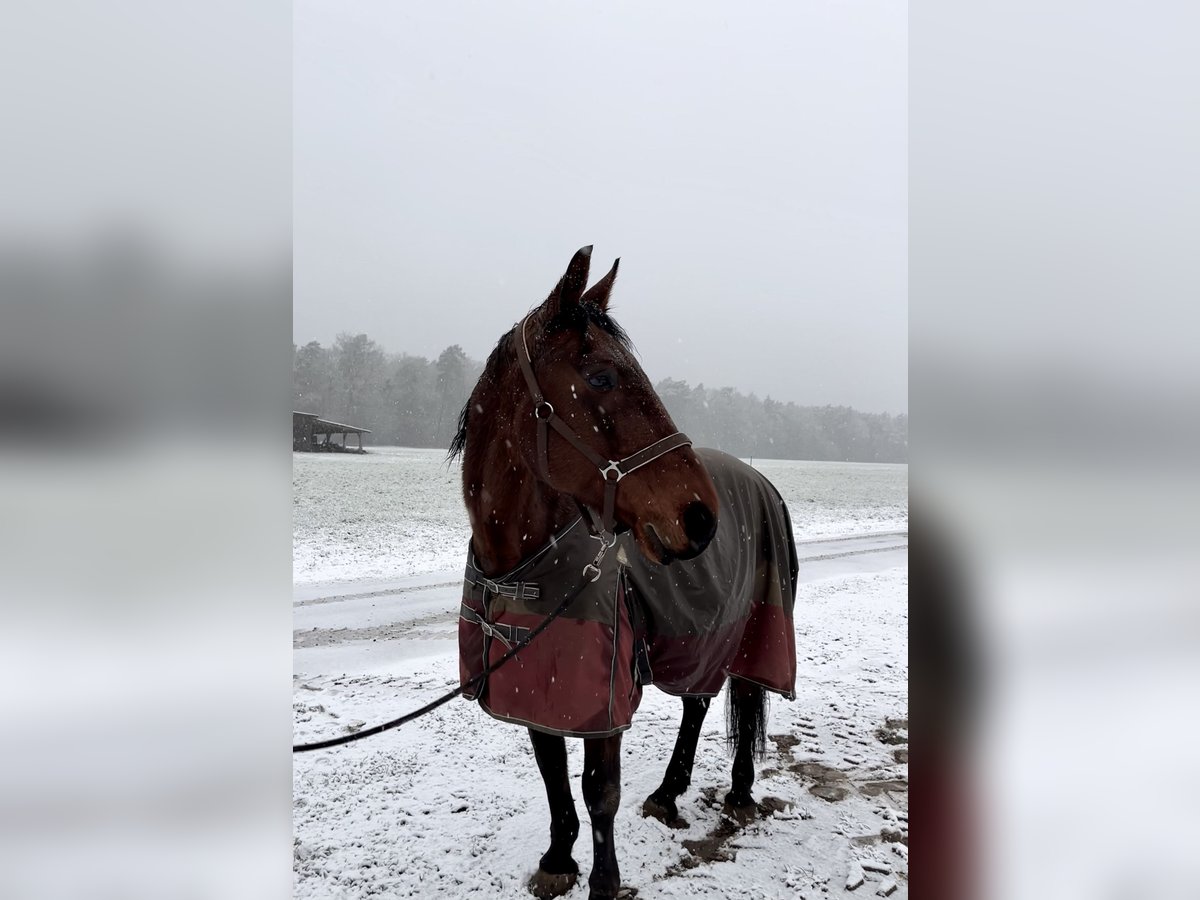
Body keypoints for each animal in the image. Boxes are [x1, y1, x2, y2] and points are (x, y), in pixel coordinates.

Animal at [451, 248, 796, 900]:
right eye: (602, 378)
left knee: (744, 693)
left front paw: (604, 882)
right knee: (699, 701)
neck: (523, 565)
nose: (700, 516)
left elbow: (599, 793)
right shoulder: (538, 688)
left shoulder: (602, 699)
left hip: (757, 627)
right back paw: (668, 794)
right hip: (701, 634)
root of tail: (760, 479)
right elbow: (553, 777)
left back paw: (739, 793)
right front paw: (558, 858)